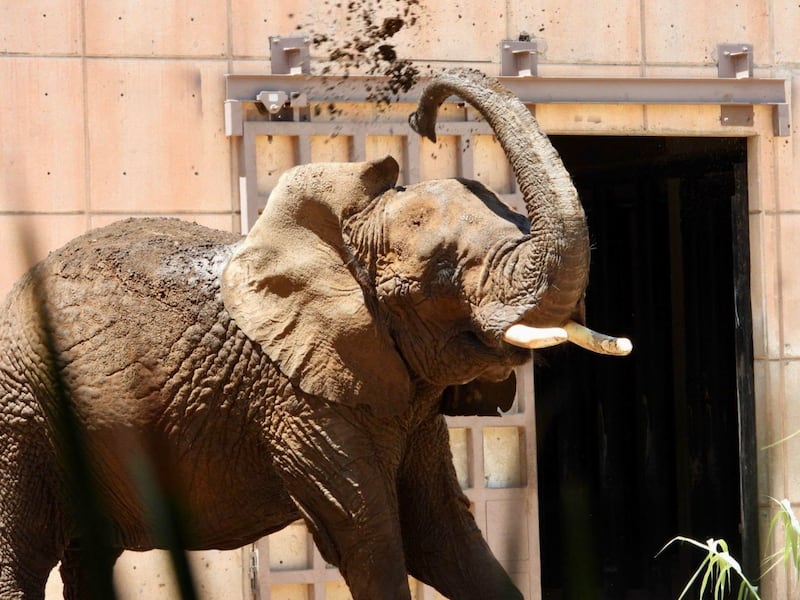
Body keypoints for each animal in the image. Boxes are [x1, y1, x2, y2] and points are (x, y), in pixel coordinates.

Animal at [0, 68, 628, 596]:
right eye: (444, 273)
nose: (421, 120)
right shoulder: (296, 400)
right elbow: (371, 543)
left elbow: (444, 538)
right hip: (21, 415)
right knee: (21, 555)